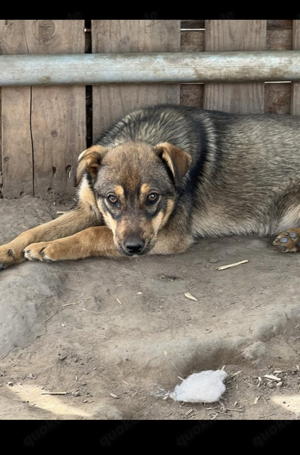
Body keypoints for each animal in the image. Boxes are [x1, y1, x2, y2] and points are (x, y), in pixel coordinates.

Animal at [0, 104, 300, 270]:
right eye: (112, 199)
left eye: (153, 197)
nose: (134, 248)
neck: (141, 136)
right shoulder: (89, 209)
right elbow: (35, 229)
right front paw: (8, 249)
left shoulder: (168, 236)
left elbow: (92, 233)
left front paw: (49, 247)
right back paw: (291, 238)